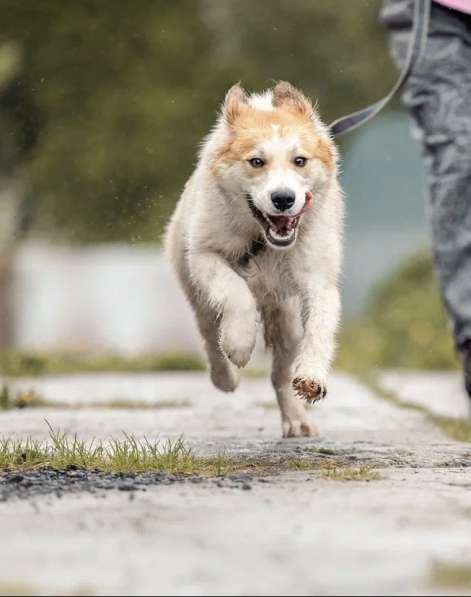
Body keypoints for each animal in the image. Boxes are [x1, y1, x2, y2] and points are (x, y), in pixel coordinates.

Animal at [166, 81, 342, 436]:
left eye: (300, 160)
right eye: (257, 162)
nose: (283, 199)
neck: (264, 239)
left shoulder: (319, 277)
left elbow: (321, 326)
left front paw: (312, 377)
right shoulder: (204, 254)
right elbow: (235, 292)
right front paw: (239, 343)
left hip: (287, 318)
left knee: (280, 374)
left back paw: (297, 420)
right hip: (197, 293)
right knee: (210, 336)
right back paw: (225, 377)